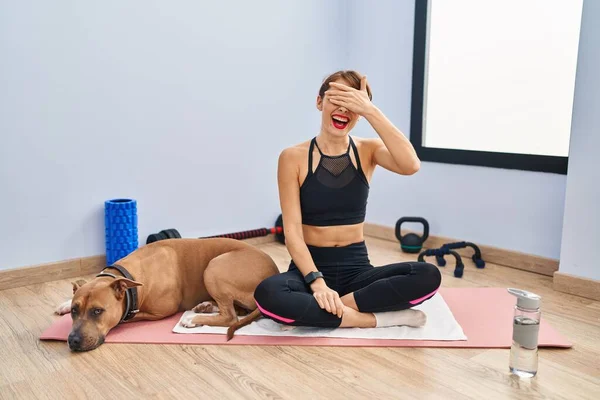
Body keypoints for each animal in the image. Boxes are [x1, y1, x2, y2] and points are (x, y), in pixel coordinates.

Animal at [54, 238, 278, 350]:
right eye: (74, 311)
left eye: (97, 311)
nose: (73, 340)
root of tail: (273, 270)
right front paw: (64, 303)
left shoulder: (157, 312)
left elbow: (127, 317)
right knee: (236, 310)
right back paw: (205, 306)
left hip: (214, 266)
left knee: (231, 316)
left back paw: (192, 319)